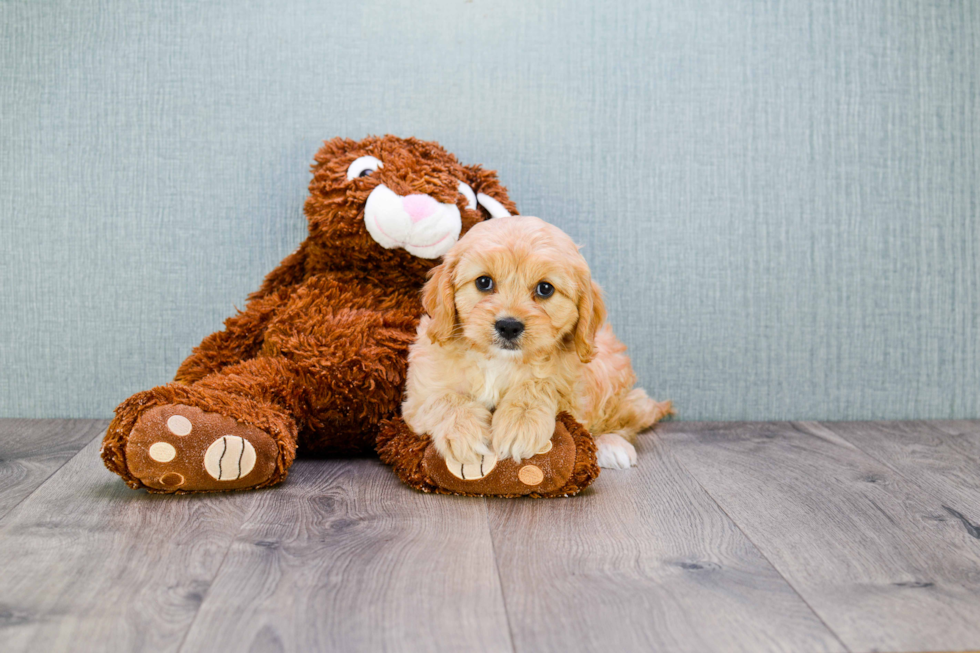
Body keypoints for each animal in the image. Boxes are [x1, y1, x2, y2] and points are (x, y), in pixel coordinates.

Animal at [402, 216, 668, 466]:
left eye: (545, 289)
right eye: (483, 282)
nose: (509, 326)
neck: (499, 361)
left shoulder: (572, 389)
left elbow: (541, 384)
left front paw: (520, 423)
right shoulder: (418, 393)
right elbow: (442, 398)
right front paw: (463, 432)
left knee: (625, 416)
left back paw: (612, 445)